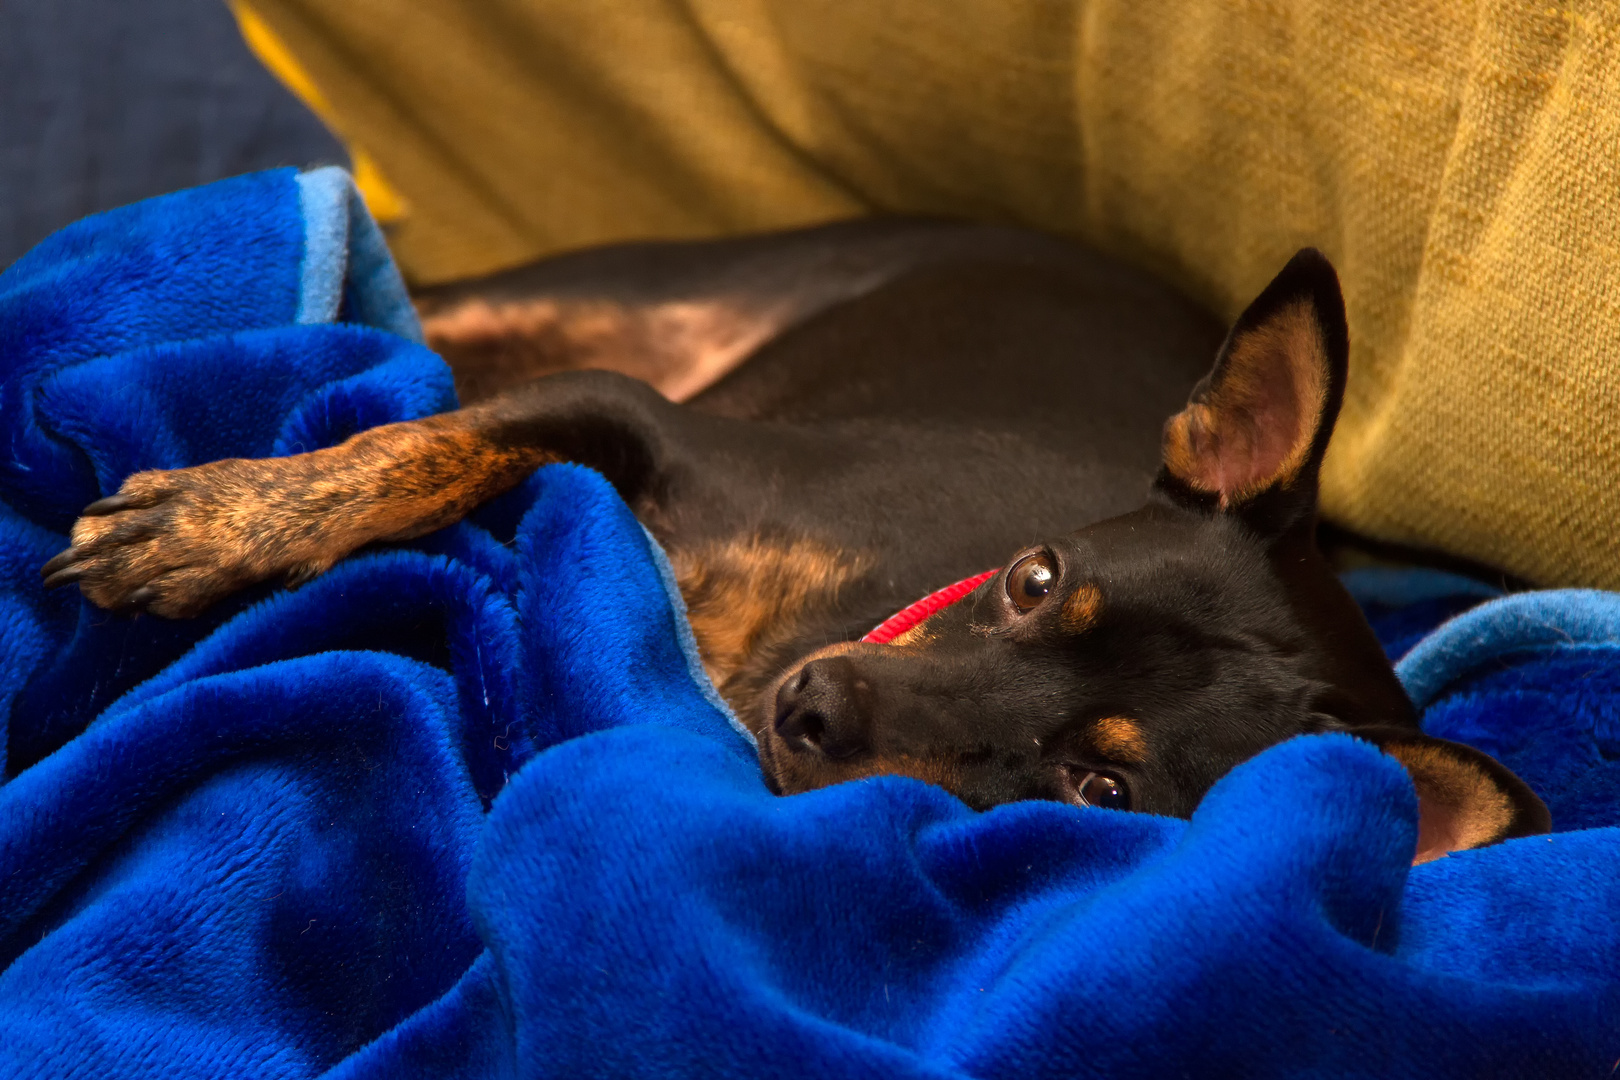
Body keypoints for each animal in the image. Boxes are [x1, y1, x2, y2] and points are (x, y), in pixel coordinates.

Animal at [38, 220, 1548, 861]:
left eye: (1100, 790)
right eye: (1032, 579)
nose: (813, 708)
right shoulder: (628, 412)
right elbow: (419, 451)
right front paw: (213, 524)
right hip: (589, 303)